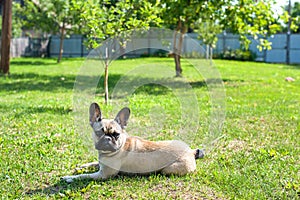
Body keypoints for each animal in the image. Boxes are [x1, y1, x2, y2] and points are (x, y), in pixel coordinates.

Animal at [63, 102, 204, 182]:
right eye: (99, 133)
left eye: (116, 134)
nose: (107, 138)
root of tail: (190, 151)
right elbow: (93, 163)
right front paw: (81, 166)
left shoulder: (102, 174)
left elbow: (84, 176)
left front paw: (70, 178)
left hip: (168, 169)